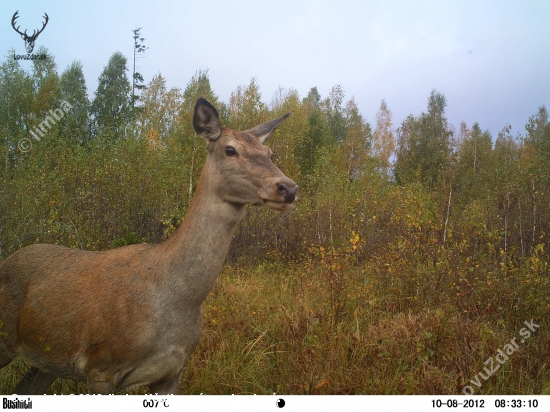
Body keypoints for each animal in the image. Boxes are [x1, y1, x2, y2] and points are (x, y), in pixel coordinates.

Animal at [0, 98, 298, 394]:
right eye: (230, 149)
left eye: (269, 152)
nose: (288, 188)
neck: (173, 298)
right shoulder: (101, 367)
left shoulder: (172, 372)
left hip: (45, 364)